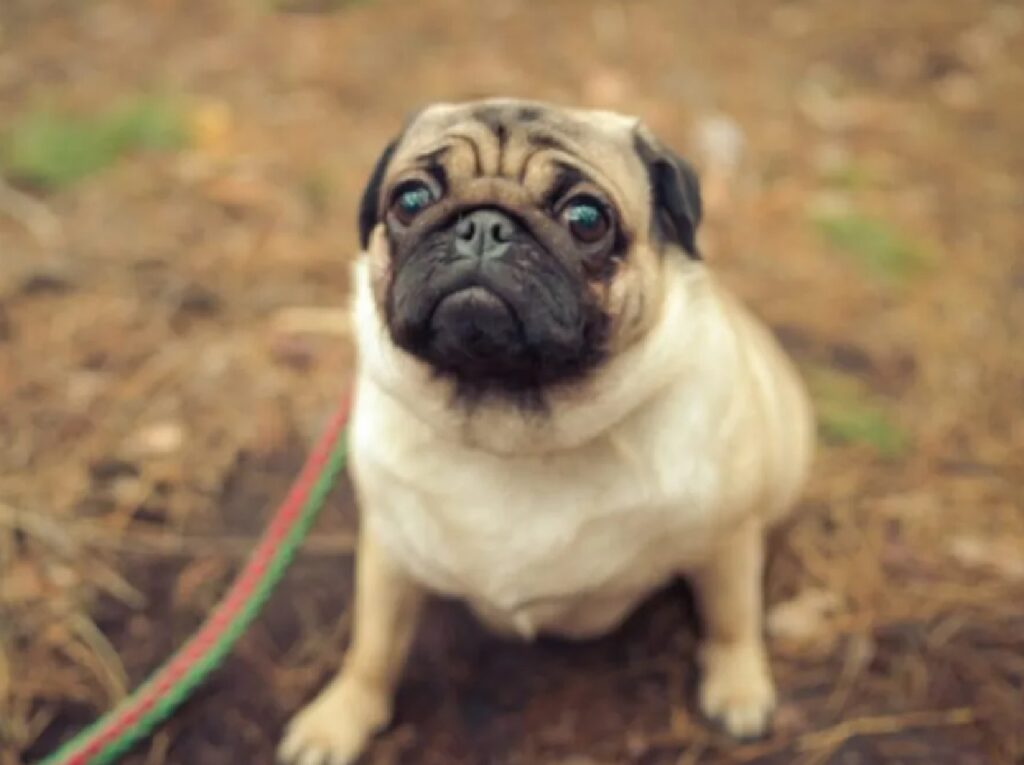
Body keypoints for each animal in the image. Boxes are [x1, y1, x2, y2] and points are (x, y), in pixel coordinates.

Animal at [276, 98, 811, 761]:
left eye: (586, 218)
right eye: (410, 199)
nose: (483, 226)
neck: (513, 429)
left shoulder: (725, 538)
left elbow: (732, 618)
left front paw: (739, 688)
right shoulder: (391, 549)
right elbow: (372, 648)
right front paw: (340, 716)